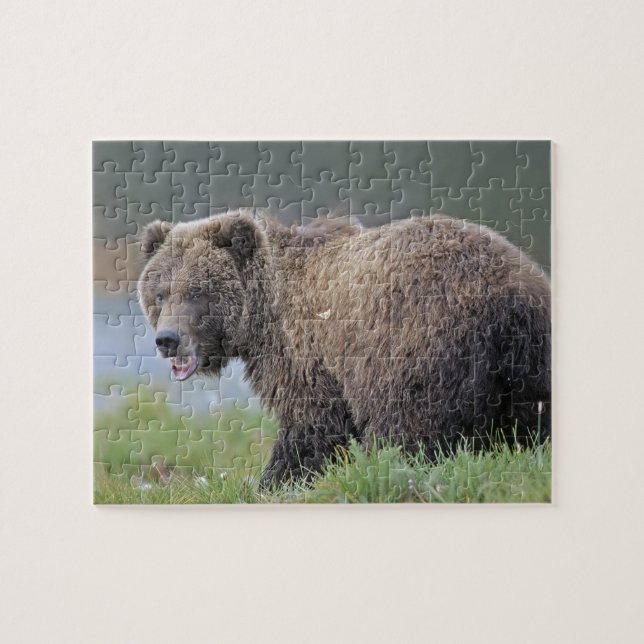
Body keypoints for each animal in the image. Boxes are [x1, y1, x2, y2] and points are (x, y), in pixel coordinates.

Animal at [138, 211, 551, 487]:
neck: (263, 313)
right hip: (530, 356)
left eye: (197, 292)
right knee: (533, 419)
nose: (167, 339)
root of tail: (508, 289)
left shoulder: (305, 352)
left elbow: (311, 423)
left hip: (416, 341)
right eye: (160, 293)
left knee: (406, 423)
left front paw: (274, 481)